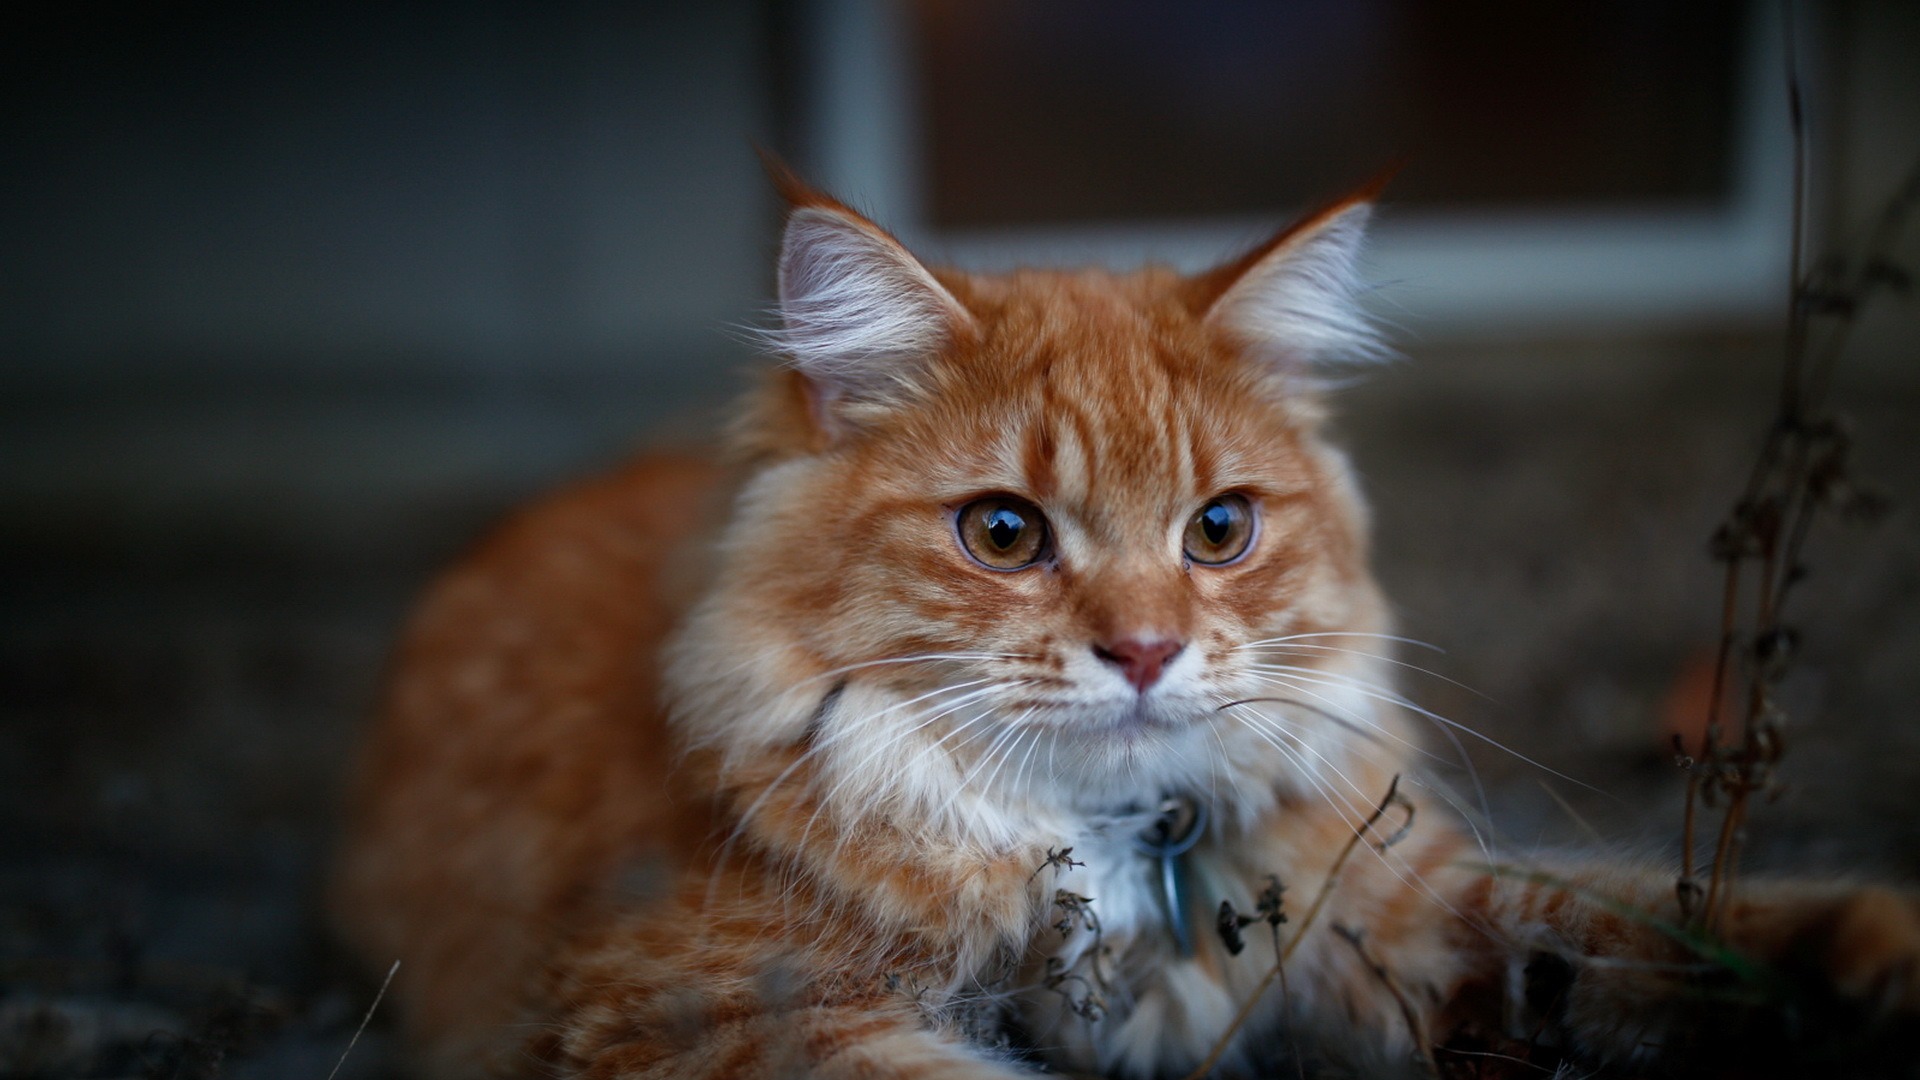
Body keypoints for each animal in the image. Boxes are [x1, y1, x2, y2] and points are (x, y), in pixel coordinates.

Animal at [334, 170, 1920, 1076]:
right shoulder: (712, 1016)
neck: (1114, 846)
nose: (1148, 651)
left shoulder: (1396, 912)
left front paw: (1867, 957)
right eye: (1003, 535)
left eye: (1219, 531)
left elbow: (1643, 917)